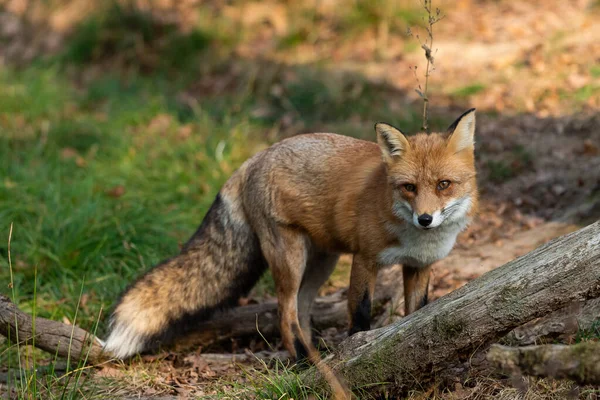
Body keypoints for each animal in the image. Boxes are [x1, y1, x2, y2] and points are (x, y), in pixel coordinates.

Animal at [103, 108, 478, 368]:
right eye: (409, 187)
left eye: (443, 185)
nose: (425, 219)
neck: (413, 235)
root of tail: (253, 159)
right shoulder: (365, 259)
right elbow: (360, 313)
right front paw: (360, 350)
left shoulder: (420, 266)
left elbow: (418, 315)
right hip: (291, 259)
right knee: (285, 314)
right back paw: (300, 364)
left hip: (321, 263)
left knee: (302, 309)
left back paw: (314, 357)